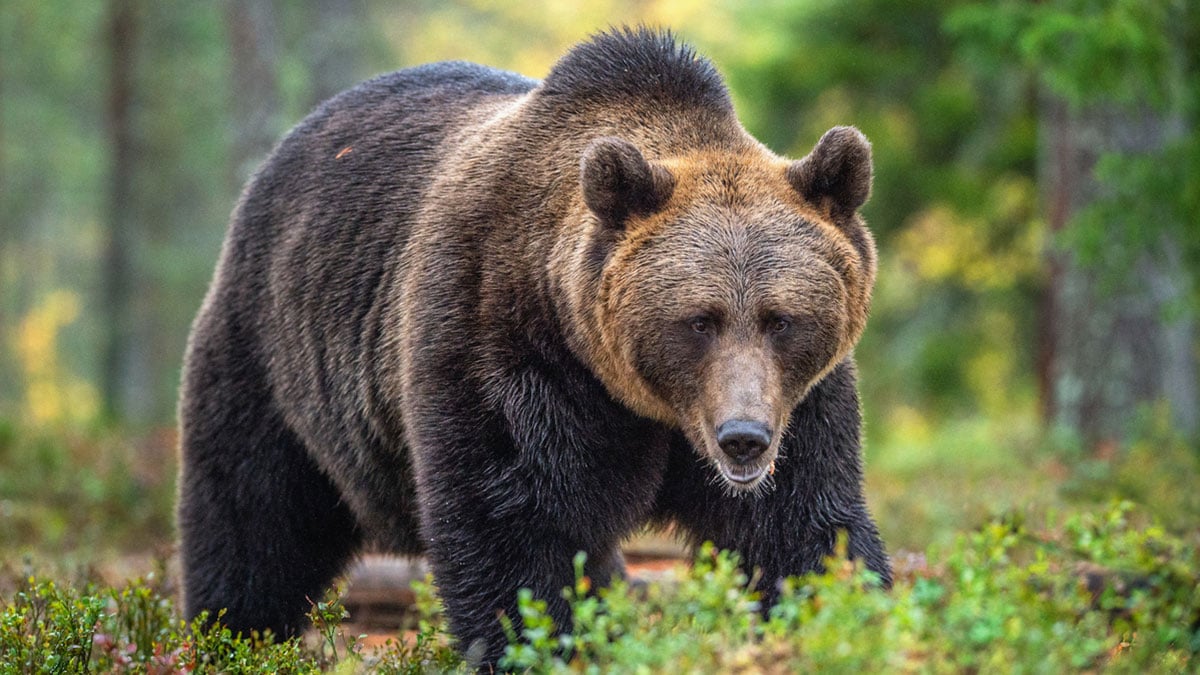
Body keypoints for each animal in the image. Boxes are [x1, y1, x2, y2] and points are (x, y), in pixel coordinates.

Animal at [180, 24, 892, 662]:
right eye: (700, 320)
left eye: (781, 319)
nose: (743, 438)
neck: (648, 403)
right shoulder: (504, 345)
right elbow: (515, 524)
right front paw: (540, 643)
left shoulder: (802, 401)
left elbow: (805, 525)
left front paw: (847, 619)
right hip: (274, 353)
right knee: (254, 515)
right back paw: (231, 633)